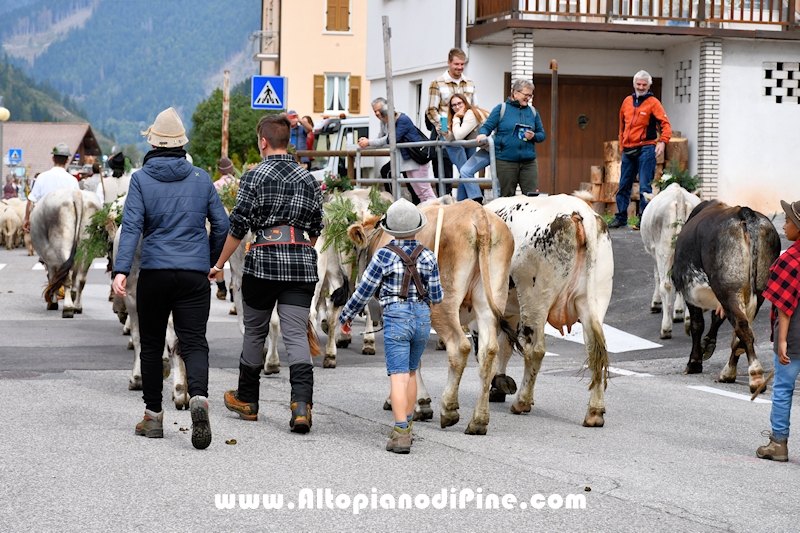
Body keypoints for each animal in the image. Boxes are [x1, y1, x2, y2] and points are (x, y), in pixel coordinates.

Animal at [488, 195, 612, 428]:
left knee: (535, 350)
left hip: (535, 299)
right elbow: (505, 346)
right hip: (594, 300)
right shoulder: (510, 312)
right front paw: (498, 384)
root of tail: (579, 211)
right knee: (594, 351)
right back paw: (595, 412)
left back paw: (522, 402)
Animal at [636, 183, 700, 338]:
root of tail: (679, 195)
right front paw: (678, 311)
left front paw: (656, 303)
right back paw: (688, 321)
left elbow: (657, 277)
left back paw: (666, 328)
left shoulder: (654, 253)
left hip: (663, 250)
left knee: (665, 285)